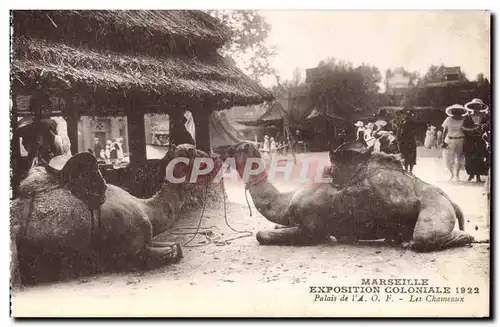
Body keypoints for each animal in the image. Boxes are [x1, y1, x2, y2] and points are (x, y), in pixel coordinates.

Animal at [225, 142, 474, 252]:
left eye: (238, 147)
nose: (222, 149)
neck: (285, 201)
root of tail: (449, 199)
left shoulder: (311, 229)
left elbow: (261, 234)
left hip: (435, 205)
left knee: (424, 238)